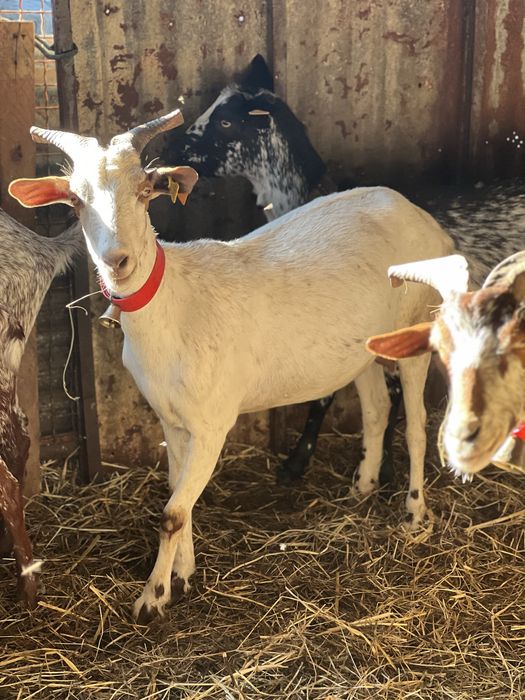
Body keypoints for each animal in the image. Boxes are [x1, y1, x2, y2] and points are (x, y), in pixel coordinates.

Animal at [9, 110, 454, 622]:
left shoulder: (212, 422)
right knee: (378, 408)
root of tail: (424, 219)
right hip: (361, 345)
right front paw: (183, 574)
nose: (116, 260)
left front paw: (152, 597)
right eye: (76, 200)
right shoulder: (171, 418)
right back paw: (361, 487)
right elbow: (179, 497)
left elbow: (172, 513)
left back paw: (414, 514)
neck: (175, 307)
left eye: (144, 190)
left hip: (417, 321)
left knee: (418, 424)